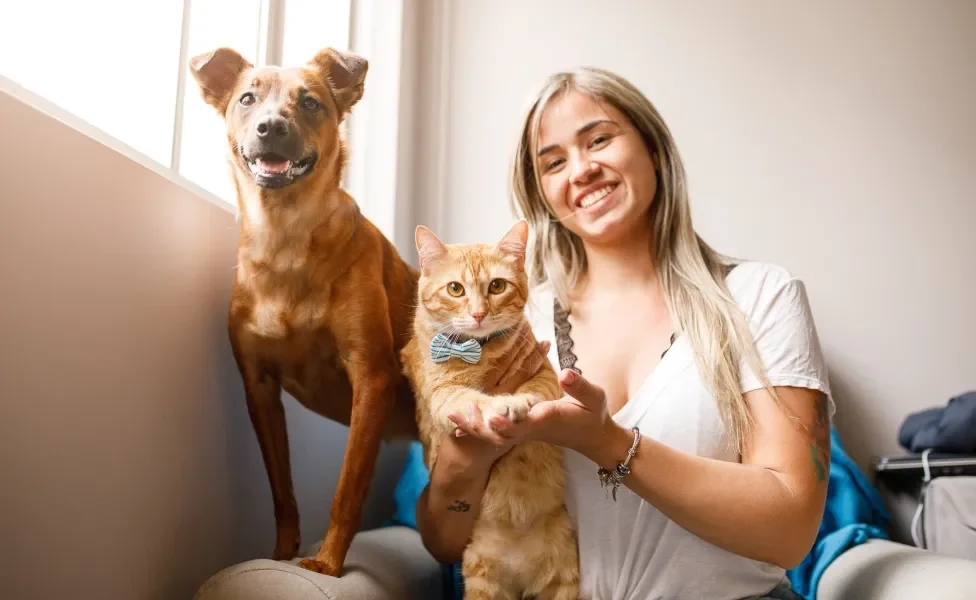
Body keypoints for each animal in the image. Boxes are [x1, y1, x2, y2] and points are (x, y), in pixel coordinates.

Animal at [188, 44, 420, 576]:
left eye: (311, 102)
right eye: (247, 98)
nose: (272, 127)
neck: (285, 240)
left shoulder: (371, 378)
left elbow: (346, 489)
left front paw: (327, 563)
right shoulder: (258, 388)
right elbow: (282, 493)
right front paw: (280, 556)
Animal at [398, 220, 576, 600]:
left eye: (497, 286)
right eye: (455, 289)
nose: (479, 313)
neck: (481, 351)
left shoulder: (544, 372)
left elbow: (537, 390)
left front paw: (522, 401)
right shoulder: (444, 394)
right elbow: (475, 400)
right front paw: (502, 404)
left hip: (562, 581)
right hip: (483, 581)